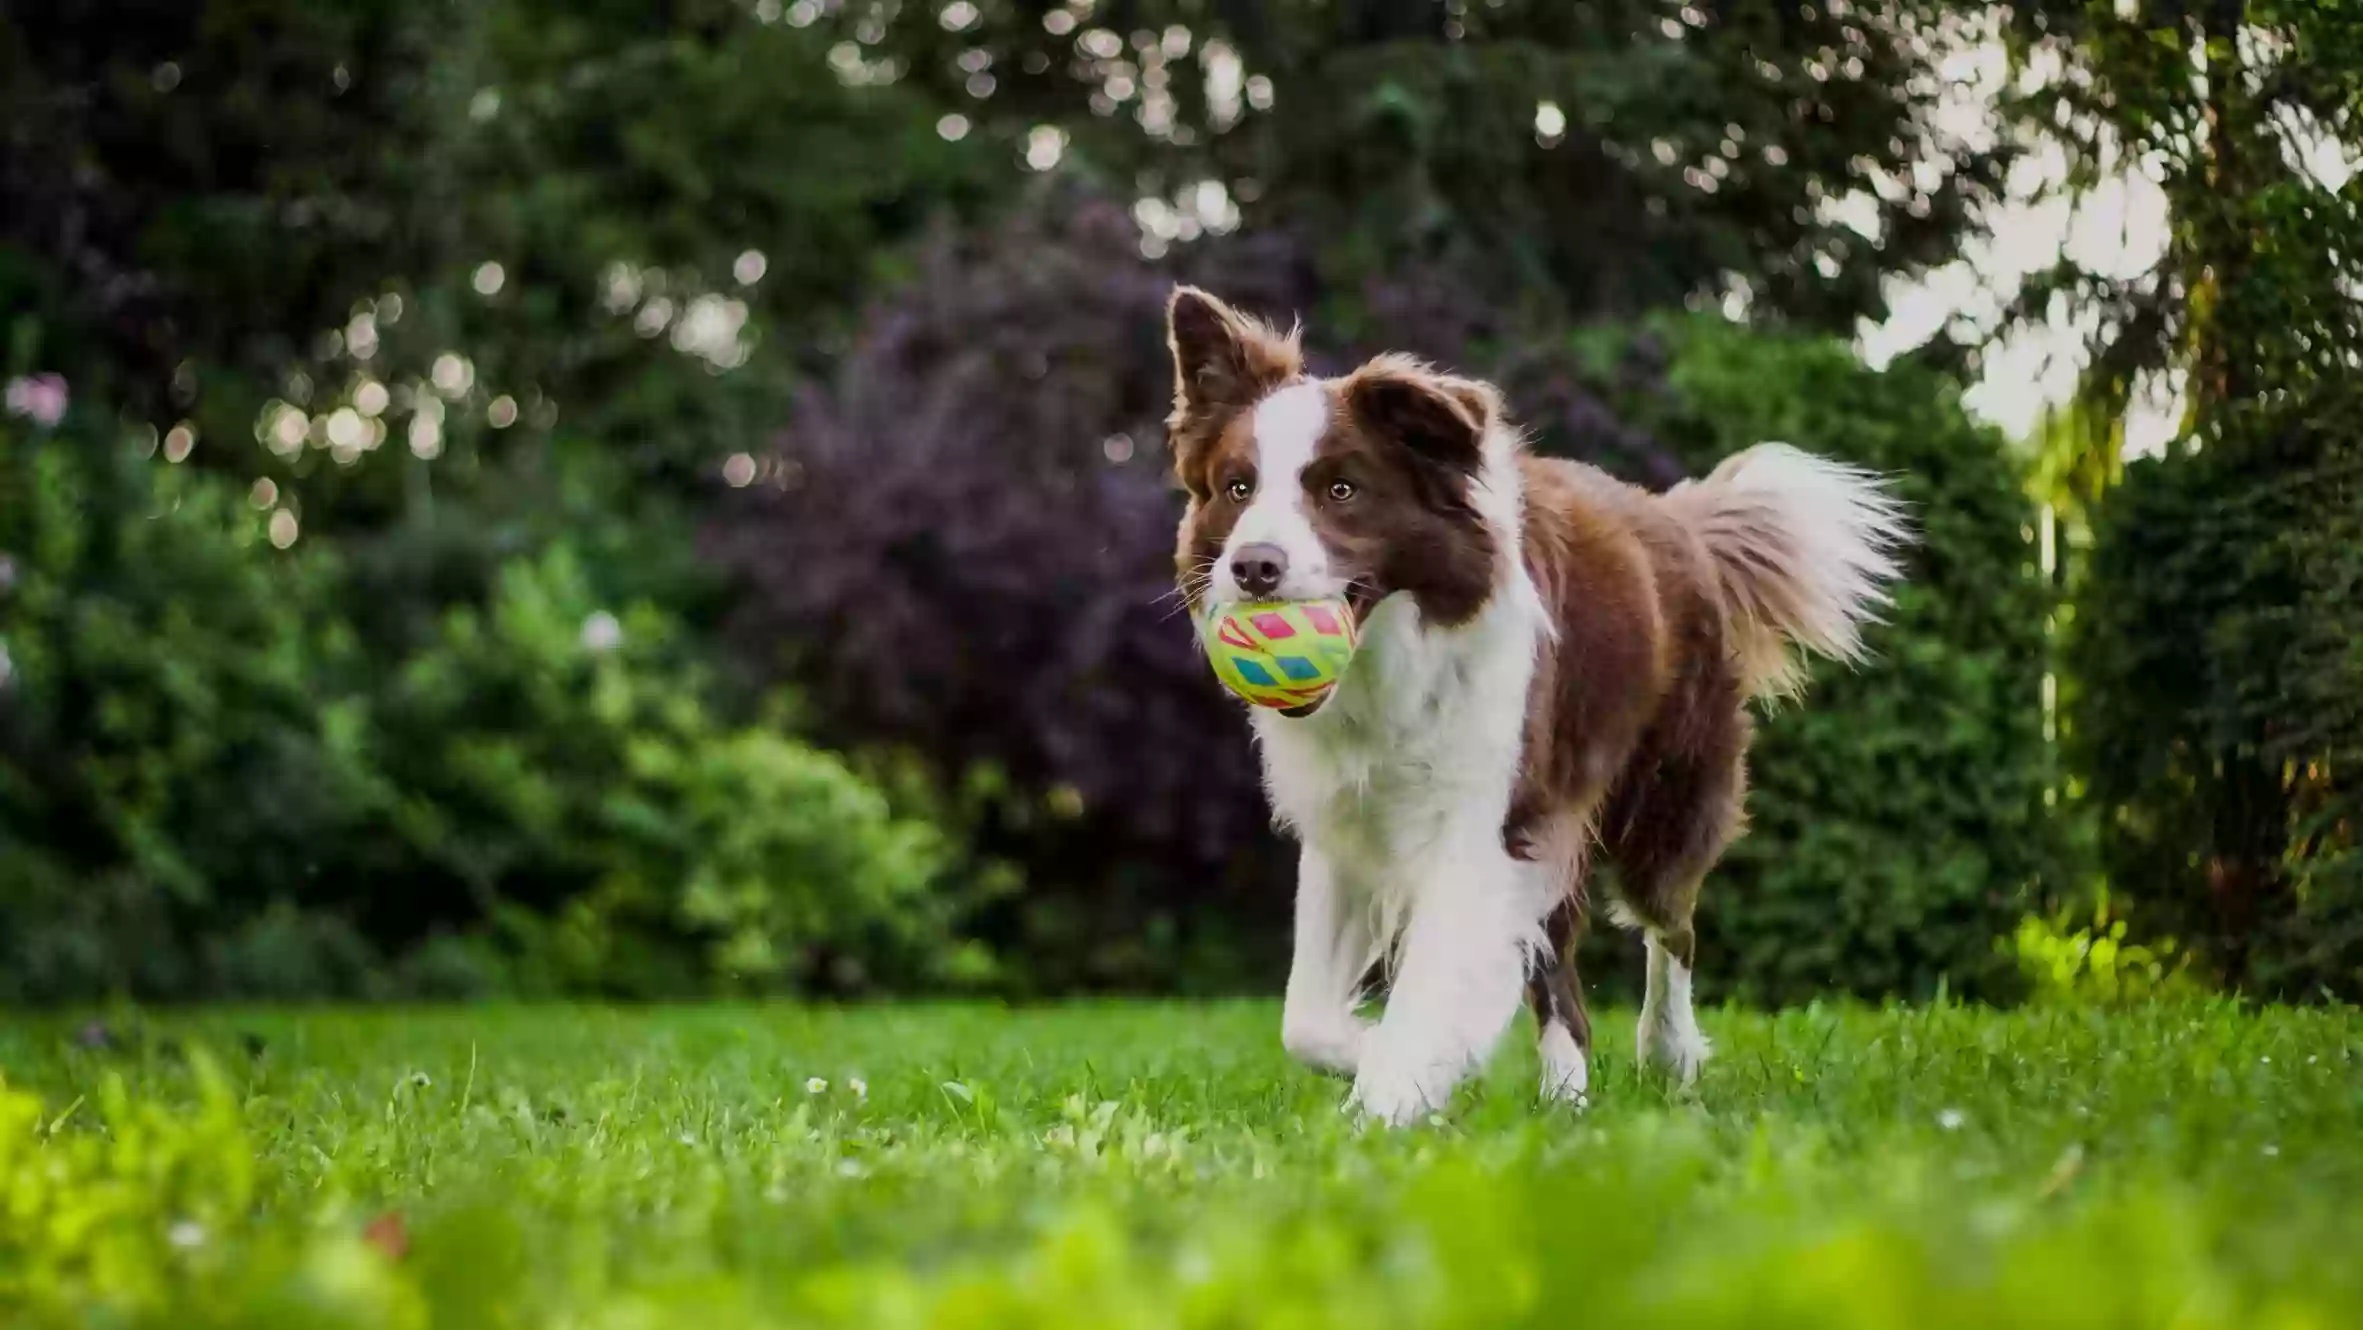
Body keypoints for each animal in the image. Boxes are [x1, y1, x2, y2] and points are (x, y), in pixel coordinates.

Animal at [1172, 289, 1909, 1124]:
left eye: (1341, 490)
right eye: (1237, 488)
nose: (1252, 567)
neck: (1390, 665)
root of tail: (1677, 520)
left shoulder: (1483, 825)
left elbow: (1432, 983)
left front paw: (1390, 1097)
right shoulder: (1348, 828)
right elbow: (1305, 1021)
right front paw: (1406, 1063)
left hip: (1662, 798)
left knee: (1671, 926)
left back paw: (1667, 1053)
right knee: (1563, 979)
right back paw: (1565, 1100)